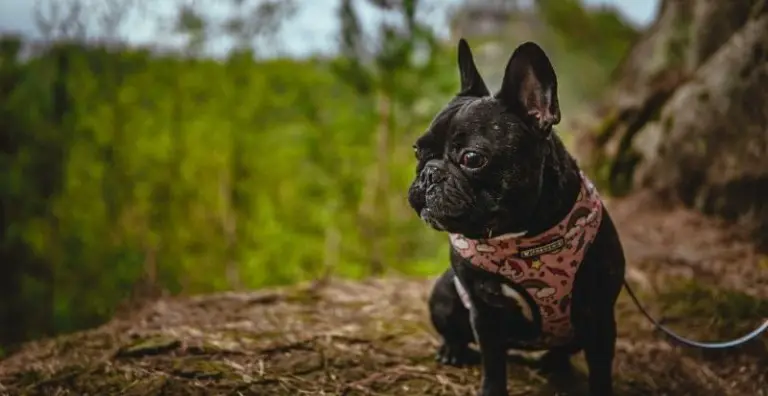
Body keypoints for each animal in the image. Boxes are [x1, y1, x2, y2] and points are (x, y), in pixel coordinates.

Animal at [404, 38, 628, 396]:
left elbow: (600, 372)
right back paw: (453, 349)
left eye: (472, 158)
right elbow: (493, 363)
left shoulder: (599, 315)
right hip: (444, 291)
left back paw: (554, 363)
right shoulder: (484, 312)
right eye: (417, 150)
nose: (429, 173)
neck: (519, 236)